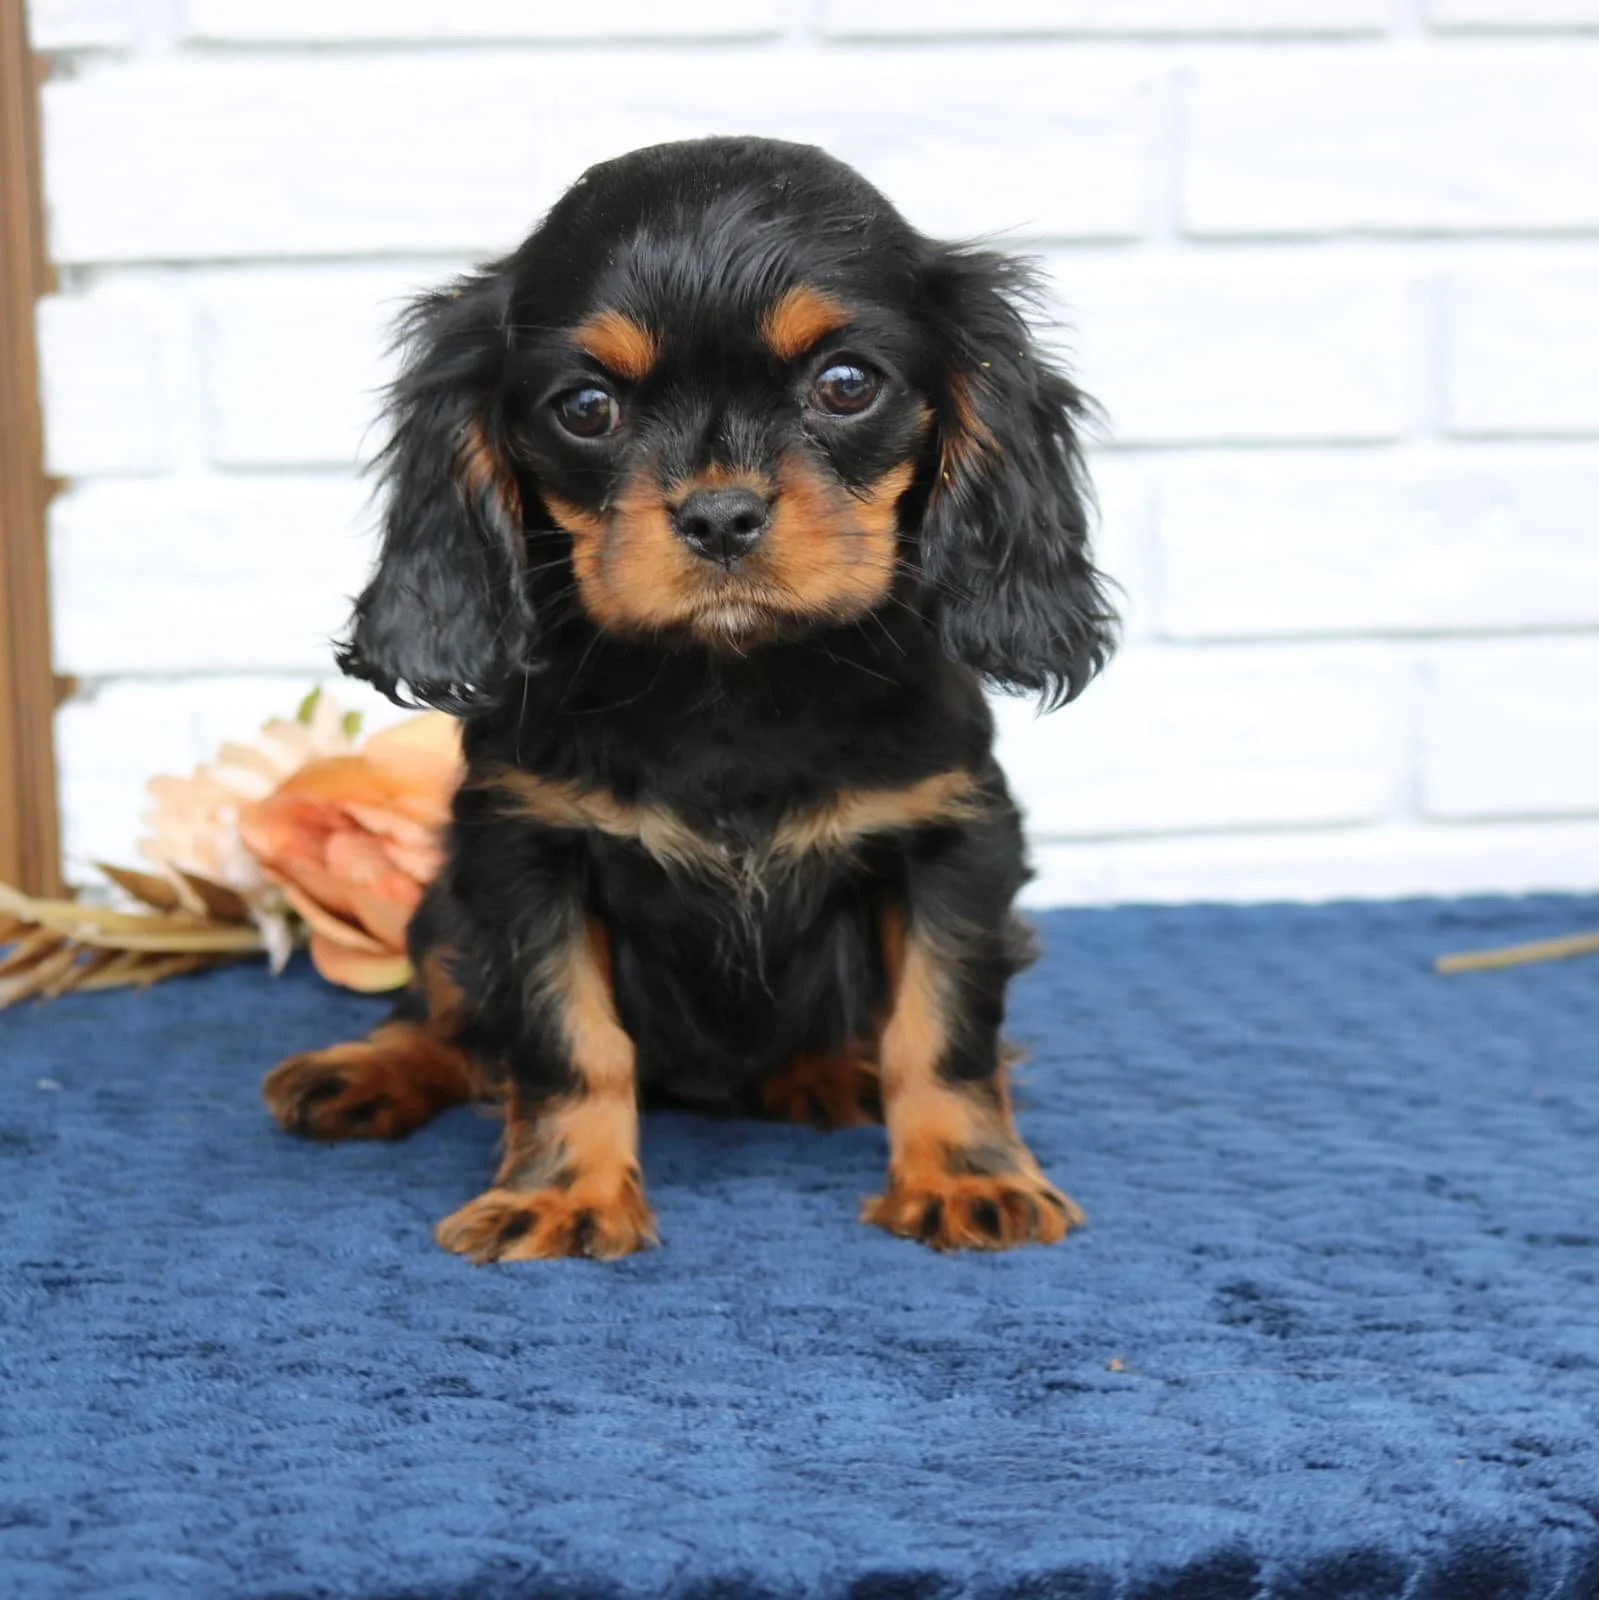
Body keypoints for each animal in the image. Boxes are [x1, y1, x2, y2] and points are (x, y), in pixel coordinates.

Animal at [263, 136, 1117, 1261]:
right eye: (586, 408)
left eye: (847, 383)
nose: (719, 515)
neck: (732, 682)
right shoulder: (523, 850)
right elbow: (565, 1038)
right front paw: (561, 1195)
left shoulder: (954, 839)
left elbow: (942, 1030)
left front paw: (969, 1177)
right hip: (447, 899)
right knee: (444, 1011)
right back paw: (366, 1071)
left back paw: (828, 1075)